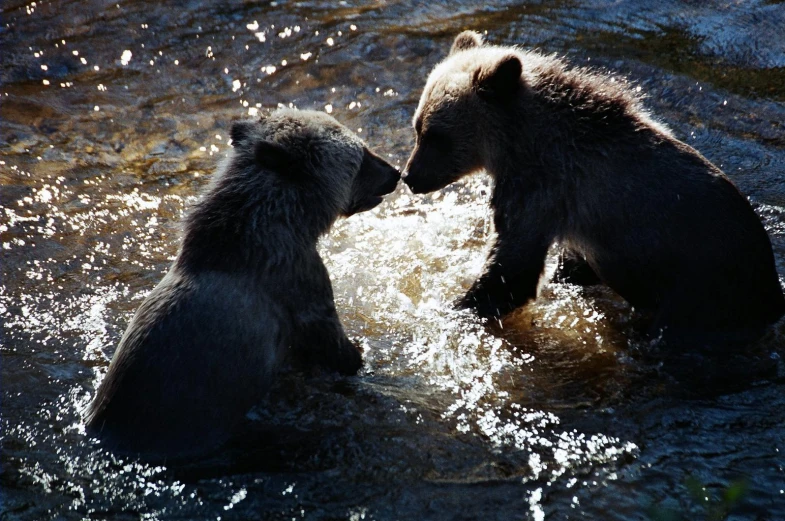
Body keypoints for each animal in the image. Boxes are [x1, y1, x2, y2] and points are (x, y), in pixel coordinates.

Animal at [404, 30, 784, 344]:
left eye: (436, 135)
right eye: (417, 127)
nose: (409, 176)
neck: (520, 143)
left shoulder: (540, 189)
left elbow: (512, 268)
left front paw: (456, 307)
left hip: (705, 289)